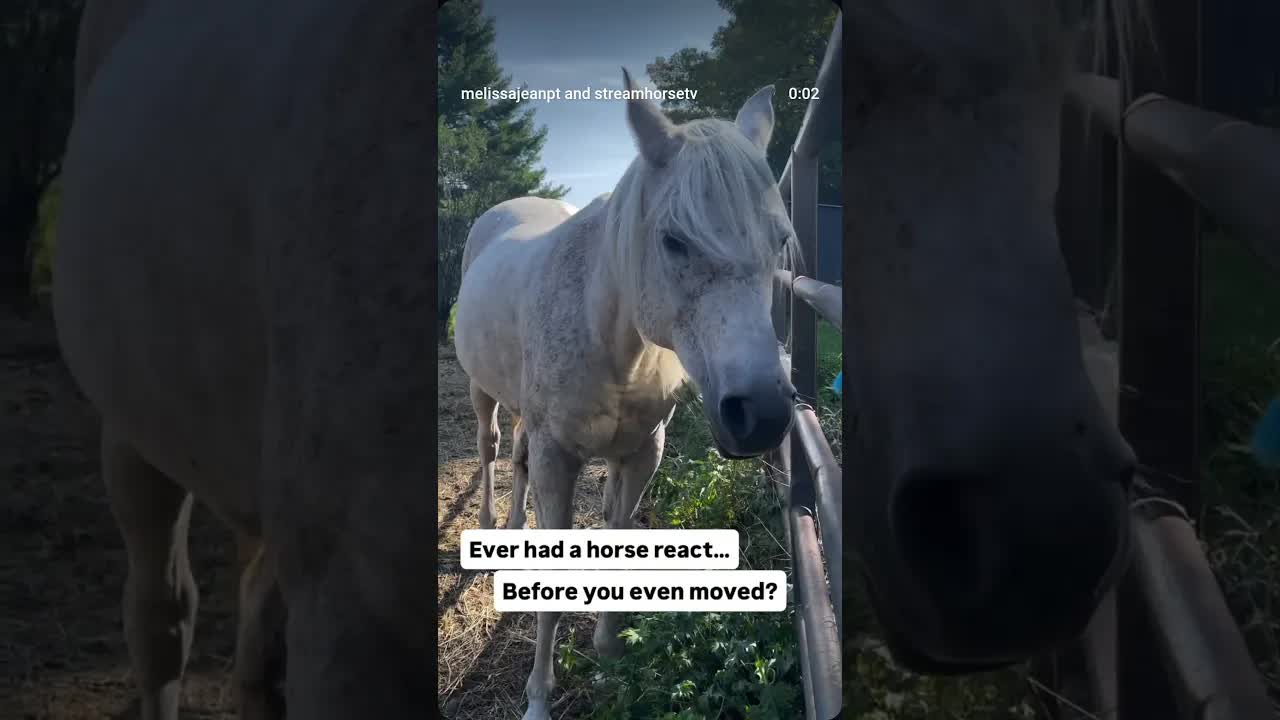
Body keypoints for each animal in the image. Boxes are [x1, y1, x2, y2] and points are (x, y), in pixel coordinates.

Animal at [452, 69, 799, 720]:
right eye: (673, 240)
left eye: (780, 239)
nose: (762, 413)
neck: (610, 338)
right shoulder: (560, 458)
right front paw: (538, 697)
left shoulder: (640, 453)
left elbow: (618, 535)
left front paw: (610, 654)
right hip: (481, 389)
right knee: (489, 447)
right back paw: (488, 525)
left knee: (516, 455)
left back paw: (513, 529)